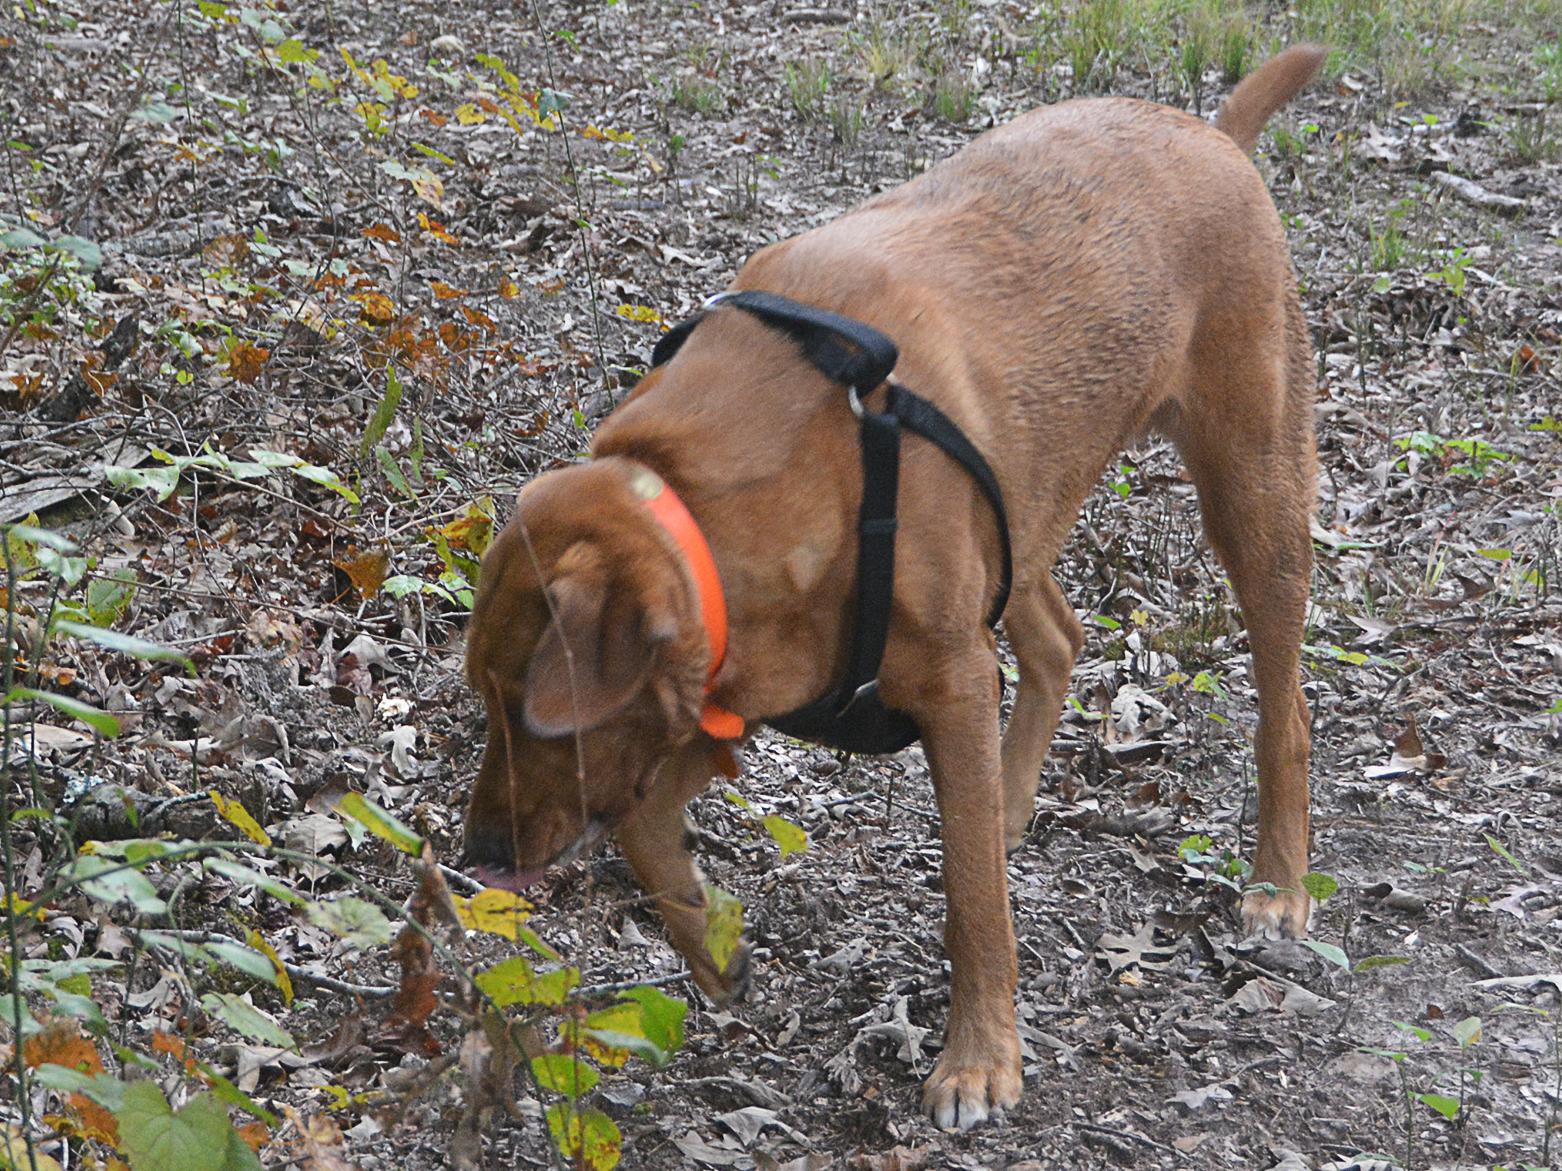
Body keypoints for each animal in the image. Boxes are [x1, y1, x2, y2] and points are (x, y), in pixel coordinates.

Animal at [468, 48, 1324, 1136]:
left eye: (522, 709)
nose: (478, 851)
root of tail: (1212, 133)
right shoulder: (746, 683)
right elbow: (641, 823)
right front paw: (711, 944)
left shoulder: (945, 678)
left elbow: (972, 905)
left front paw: (980, 1057)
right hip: (1020, 514)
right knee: (1057, 639)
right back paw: (1008, 799)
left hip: (1252, 492)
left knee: (1283, 706)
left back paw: (1276, 881)